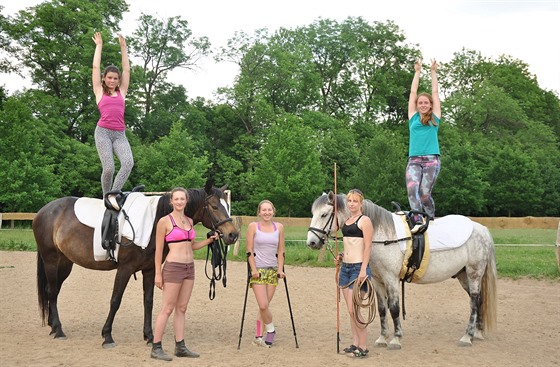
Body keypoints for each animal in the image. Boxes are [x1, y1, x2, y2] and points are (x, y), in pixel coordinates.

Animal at [32, 183, 238, 350]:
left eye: (227, 206)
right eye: (214, 206)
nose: (233, 235)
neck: (156, 221)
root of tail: (43, 211)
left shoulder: (150, 269)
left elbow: (148, 301)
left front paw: (149, 336)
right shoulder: (125, 269)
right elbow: (115, 300)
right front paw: (107, 336)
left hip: (65, 264)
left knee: (53, 291)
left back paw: (53, 326)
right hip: (51, 260)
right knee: (51, 292)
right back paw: (59, 330)